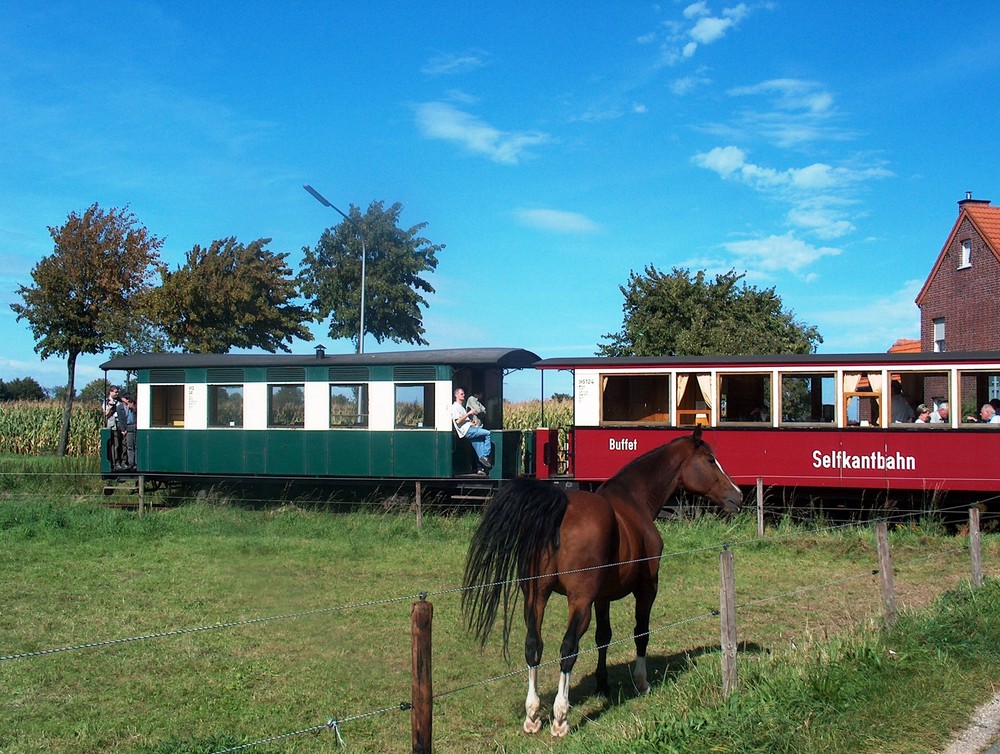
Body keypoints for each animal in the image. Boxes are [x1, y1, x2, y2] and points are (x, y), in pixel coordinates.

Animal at [462, 428, 744, 736]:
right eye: (710, 460)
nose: (738, 495)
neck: (633, 501)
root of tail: (558, 511)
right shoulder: (647, 588)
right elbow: (641, 633)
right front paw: (641, 682)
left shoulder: (602, 598)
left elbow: (603, 637)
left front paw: (602, 683)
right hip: (578, 602)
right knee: (567, 649)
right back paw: (560, 717)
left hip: (536, 596)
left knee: (533, 646)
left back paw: (533, 715)